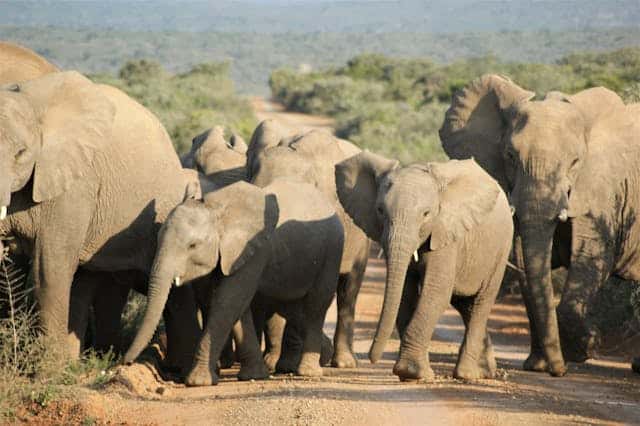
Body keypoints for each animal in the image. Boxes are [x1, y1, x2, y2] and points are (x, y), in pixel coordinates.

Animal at [0, 70, 201, 372]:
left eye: (21, 153)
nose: (124, 363)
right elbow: (12, 268)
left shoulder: (75, 183)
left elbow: (49, 267)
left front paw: (49, 371)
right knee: (88, 283)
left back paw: (175, 369)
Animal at [124, 180, 344, 386]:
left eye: (192, 245)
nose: (125, 362)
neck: (215, 210)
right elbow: (235, 306)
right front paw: (253, 375)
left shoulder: (252, 249)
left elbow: (228, 301)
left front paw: (198, 381)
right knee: (292, 308)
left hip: (332, 251)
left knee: (316, 305)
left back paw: (308, 371)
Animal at [334, 152, 513, 381]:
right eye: (380, 210)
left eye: (426, 214)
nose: (371, 359)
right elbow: (406, 293)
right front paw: (411, 374)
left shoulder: (446, 233)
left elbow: (435, 292)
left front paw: (411, 372)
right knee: (465, 305)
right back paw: (485, 371)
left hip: (501, 249)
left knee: (481, 303)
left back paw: (467, 374)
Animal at [440, 74, 640, 375]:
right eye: (510, 156)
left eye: (575, 162)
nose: (560, 371)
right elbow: (525, 263)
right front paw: (538, 366)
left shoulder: (603, 189)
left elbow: (591, 256)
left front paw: (585, 348)